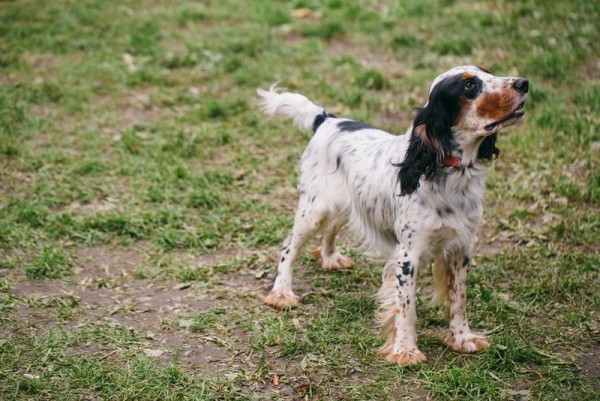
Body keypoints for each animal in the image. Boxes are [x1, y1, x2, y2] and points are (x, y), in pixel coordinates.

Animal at [255, 65, 528, 366]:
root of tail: (326, 121)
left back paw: (329, 258)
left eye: (488, 72)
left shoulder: (461, 248)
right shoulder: (409, 255)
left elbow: (459, 300)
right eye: (469, 85)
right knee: (288, 248)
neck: (446, 171)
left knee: (330, 230)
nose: (523, 83)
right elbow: (406, 307)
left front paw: (462, 338)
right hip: (314, 209)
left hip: (344, 205)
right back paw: (282, 293)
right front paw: (405, 350)